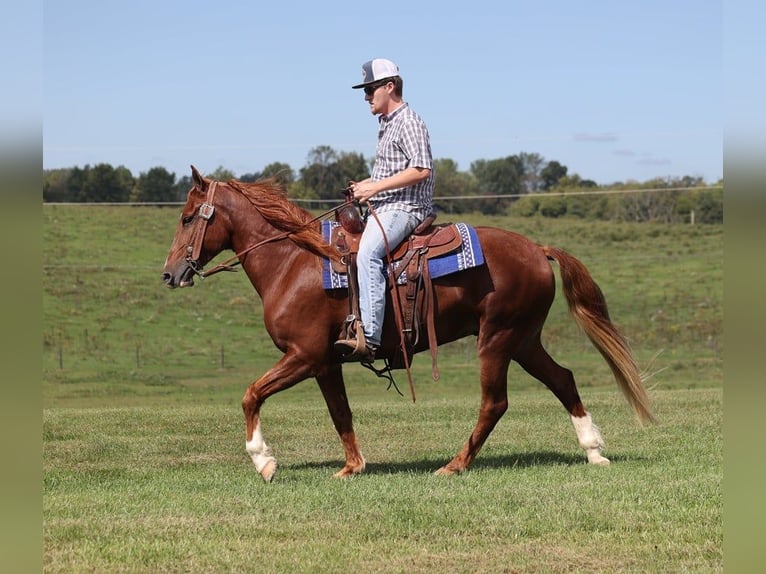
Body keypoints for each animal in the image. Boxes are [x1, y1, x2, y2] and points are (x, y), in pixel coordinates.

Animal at [162, 166, 654, 482]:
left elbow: (251, 395)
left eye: (187, 218)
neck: (293, 262)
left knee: (495, 403)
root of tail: (537, 248)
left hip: (497, 339)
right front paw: (352, 466)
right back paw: (593, 451)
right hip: (524, 340)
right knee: (563, 379)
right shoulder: (326, 364)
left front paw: (263, 460)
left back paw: (456, 464)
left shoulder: (304, 356)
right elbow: (340, 413)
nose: (169, 274)